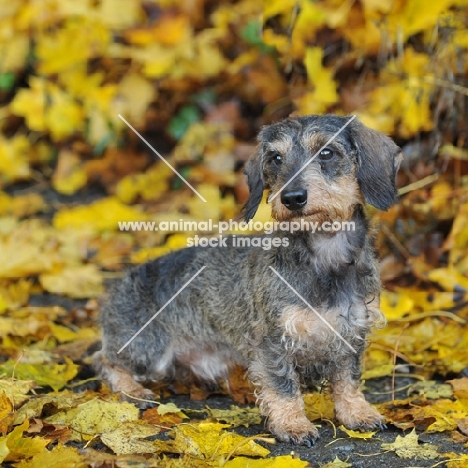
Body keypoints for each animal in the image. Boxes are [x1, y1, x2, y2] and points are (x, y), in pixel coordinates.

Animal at [93, 115, 400, 444]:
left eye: (327, 152)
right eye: (276, 158)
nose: (292, 198)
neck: (324, 259)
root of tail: (118, 287)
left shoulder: (352, 333)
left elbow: (348, 379)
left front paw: (357, 412)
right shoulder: (272, 341)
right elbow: (283, 386)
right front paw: (293, 425)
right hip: (149, 350)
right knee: (104, 359)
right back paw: (133, 390)